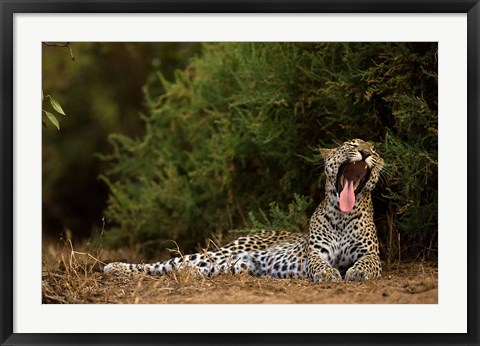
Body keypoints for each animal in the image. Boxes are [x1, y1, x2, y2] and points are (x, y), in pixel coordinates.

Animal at [103, 138, 384, 282]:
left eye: (375, 150)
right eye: (351, 144)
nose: (365, 152)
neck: (342, 215)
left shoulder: (371, 253)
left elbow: (369, 263)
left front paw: (357, 272)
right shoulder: (315, 252)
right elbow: (319, 264)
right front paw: (329, 274)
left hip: (227, 265)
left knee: (179, 269)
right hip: (220, 253)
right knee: (163, 264)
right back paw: (113, 267)